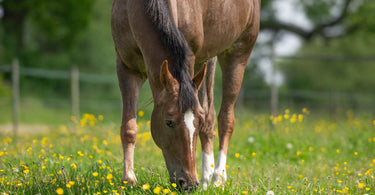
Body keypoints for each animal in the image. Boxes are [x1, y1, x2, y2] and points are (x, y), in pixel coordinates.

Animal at [110, 0, 260, 192]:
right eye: (169, 122)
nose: (188, 184)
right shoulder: (126, 68)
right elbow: (129, 128)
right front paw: (128, 180)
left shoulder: (190, 59)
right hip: (207, 60)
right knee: (209, 117)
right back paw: (205, 179)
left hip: (238, 53)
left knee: (226, 119)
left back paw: (218, 178)